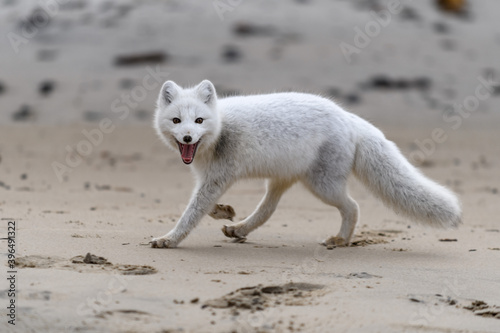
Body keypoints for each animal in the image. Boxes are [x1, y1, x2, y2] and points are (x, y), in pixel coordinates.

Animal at [151, 80, 460, 246]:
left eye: (199, 120)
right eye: (177, 121)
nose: (188, 137)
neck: (219, 130)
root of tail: (348, 116)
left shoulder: (217, 179)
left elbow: (191, 214)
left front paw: (169, 239)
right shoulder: (209, 180)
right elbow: (202, 207)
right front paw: (223, 211)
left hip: (322, 186)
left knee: (353, 207)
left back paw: (340, 240)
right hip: (282, 179)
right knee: (268, 210)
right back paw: (239, 229)